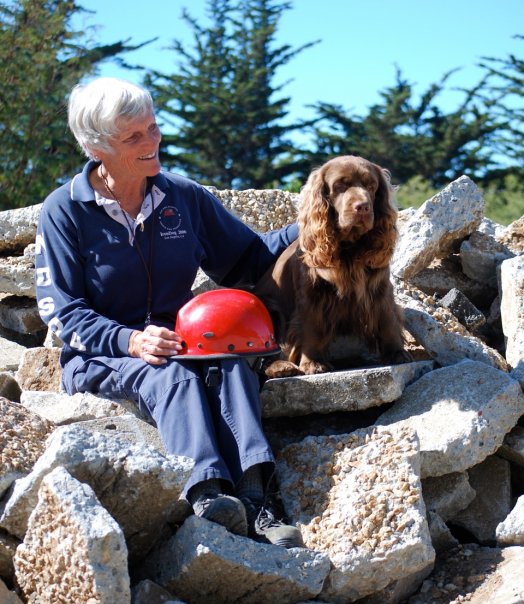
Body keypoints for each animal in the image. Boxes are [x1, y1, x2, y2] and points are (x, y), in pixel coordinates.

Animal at [254, 155, 410, 378]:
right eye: (339, 186)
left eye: (371, 186)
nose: (363, 207)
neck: (349, 248)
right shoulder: (313, 294)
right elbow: (312, 328)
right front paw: (313, 363)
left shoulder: (379, 286)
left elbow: (387, 320)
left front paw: (396, 352)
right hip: (270, 308)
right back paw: (281, 367)